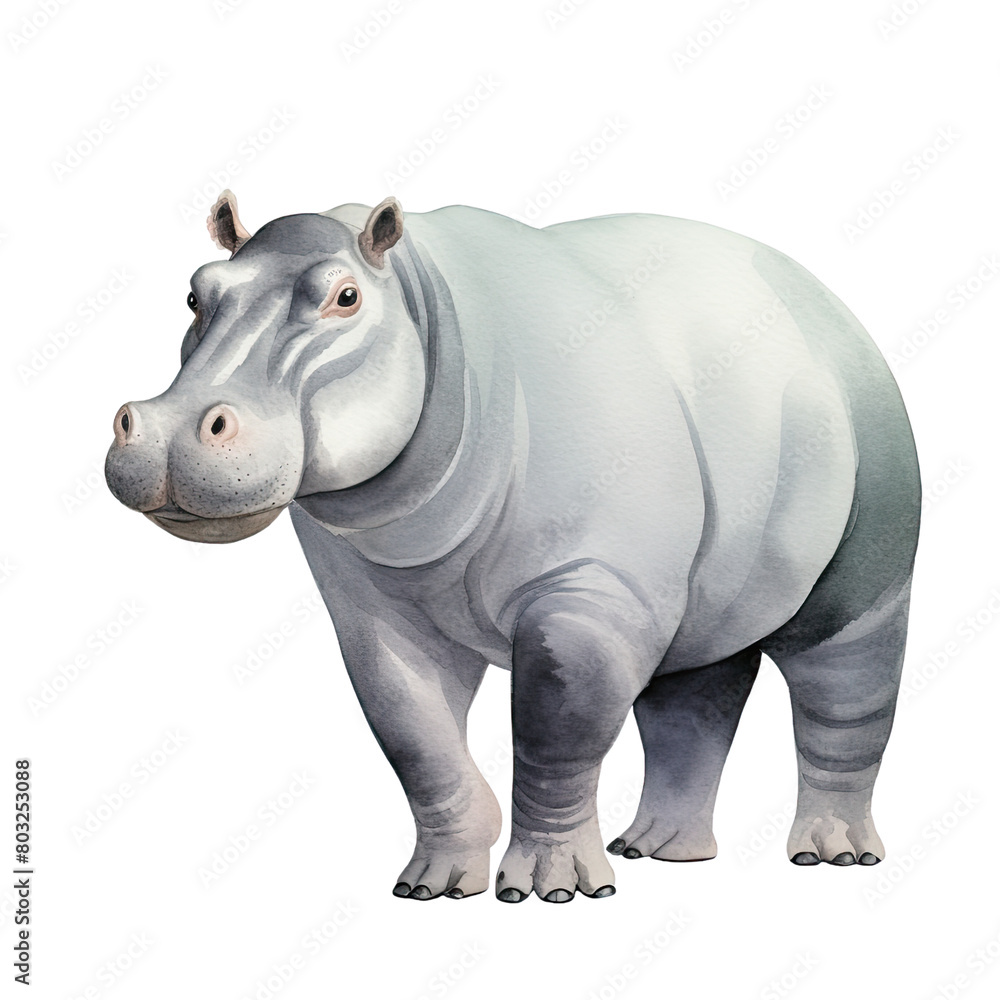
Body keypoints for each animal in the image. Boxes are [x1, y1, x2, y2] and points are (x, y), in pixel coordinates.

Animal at [105, 191, 920, 903]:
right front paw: (431, 888)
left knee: (846, 685)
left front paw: (552, 891)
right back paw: (657, 851)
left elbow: (556, 725)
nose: (166, 430)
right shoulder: (375, 613)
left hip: (871, 549)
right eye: (195, 295)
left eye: (345, 297)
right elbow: (415, 736)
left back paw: (832, 856)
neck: (423, 306)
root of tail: (820, 296)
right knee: (694, 694)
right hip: (702, 581)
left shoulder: (586, 594)